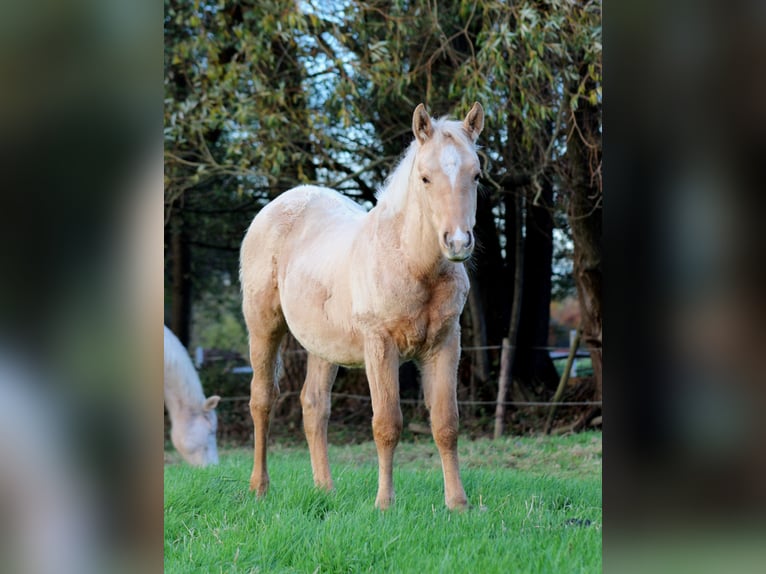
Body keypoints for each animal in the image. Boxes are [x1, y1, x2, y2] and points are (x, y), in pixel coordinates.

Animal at [240, 102, 484, 510]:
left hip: (323, 345)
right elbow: (386, 424)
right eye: (425, 178)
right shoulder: (380, 344)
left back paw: (325, 488)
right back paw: (259, 487)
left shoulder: (446, 343)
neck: (414, 263)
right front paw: (384, 503)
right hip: (263, 327)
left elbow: (446, 424)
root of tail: (278, 204)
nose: (458, 242)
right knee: (262, 400)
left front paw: (458, 505)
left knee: (314, 406)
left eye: (476, 175)